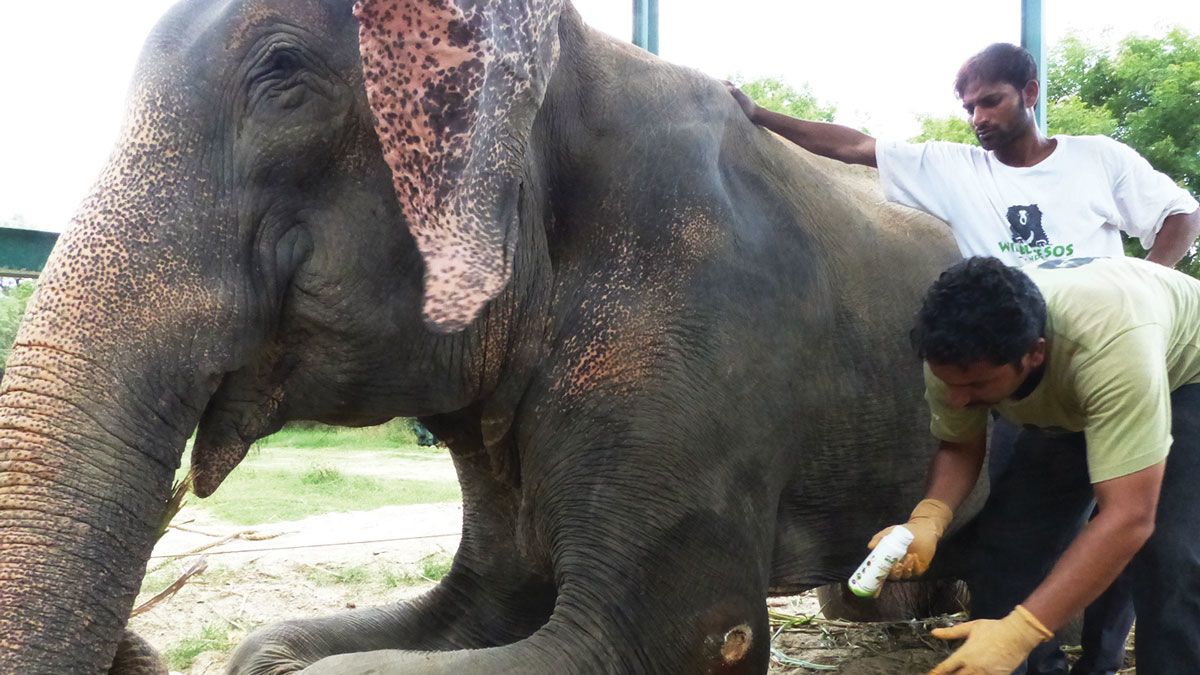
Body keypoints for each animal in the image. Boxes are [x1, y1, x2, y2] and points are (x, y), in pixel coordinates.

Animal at [0, 0, 972, 672]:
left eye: (283, 73)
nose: (129, 644)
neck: (570, 56)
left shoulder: (706, 345)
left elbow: (690, 633)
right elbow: (478, 601)